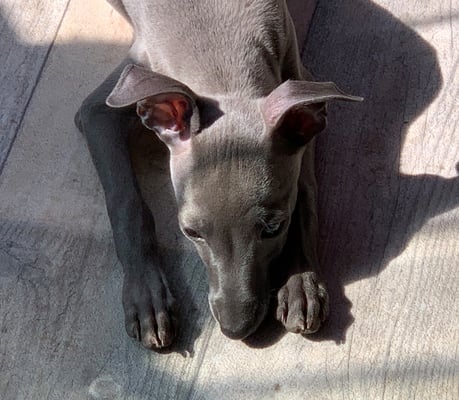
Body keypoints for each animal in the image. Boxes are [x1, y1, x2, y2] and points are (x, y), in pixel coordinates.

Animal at [75, 0, 362, 349]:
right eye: (190, 232)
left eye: (273, 228)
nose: (236, 330)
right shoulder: (97, 111)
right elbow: (126, 202)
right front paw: (147, 299)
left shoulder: (299, 82)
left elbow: (305, 192)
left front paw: (301, 283)